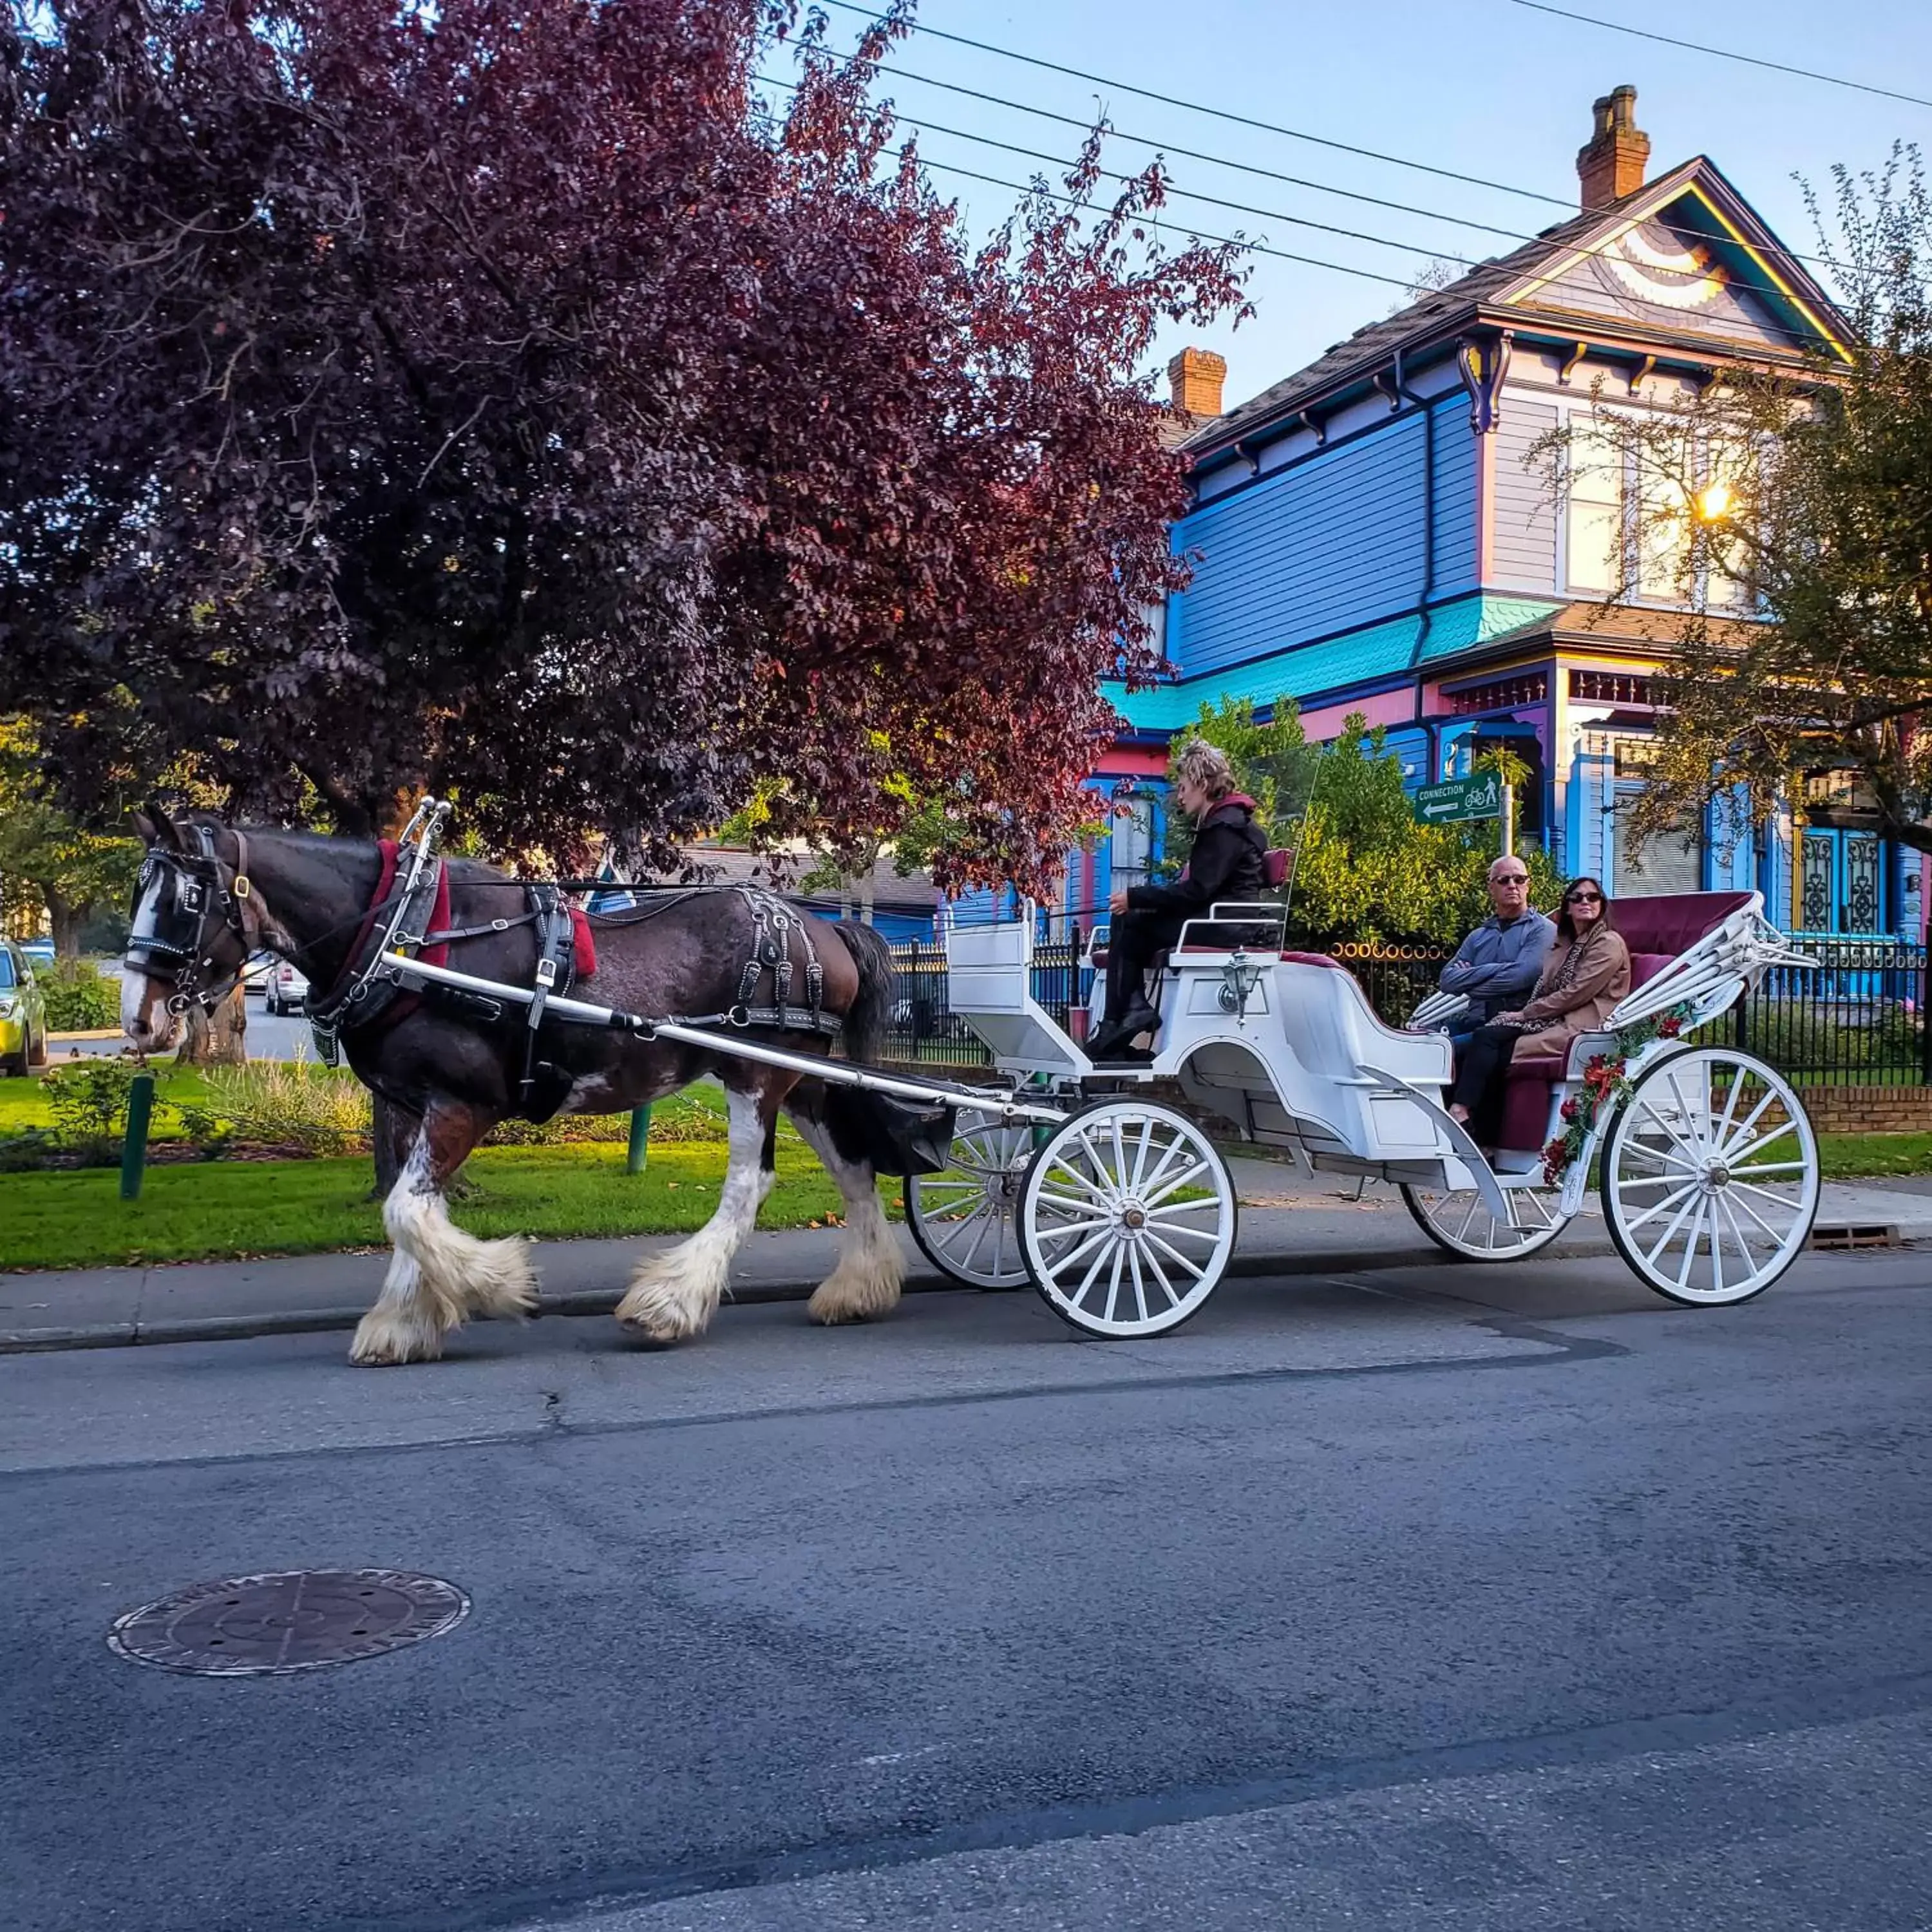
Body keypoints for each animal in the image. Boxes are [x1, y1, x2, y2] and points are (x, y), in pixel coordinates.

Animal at [122, 808, 920, 1368]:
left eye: (187, 898)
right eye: (139, 891)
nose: (139, 1020)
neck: (403, 939)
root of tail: (822, 928)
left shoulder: (464, 1103)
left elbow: (407, 1213)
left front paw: (499, 1284)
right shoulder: (412, 1107)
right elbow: (410, 1210)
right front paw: (405, 1322)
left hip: (757, 1074)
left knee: (749, 1184)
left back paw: (668, 1302)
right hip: (802, 1078)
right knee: (853, 1167)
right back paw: (859, 1288)